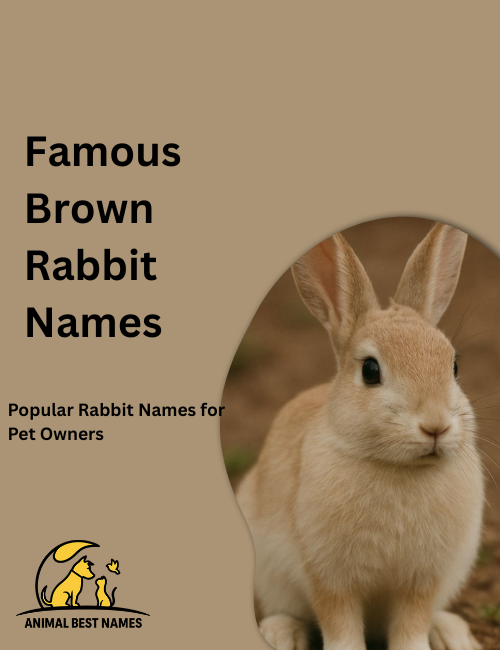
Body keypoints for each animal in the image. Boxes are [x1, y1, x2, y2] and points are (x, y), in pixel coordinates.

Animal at [236, 223, 484, 650]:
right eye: (370, 370)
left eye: (453, 366)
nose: (436, 426)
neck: (399, 468)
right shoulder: (329, 577)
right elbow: (341, 627)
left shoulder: (422, 581)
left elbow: (412, 626)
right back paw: (281, 634)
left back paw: (451, 634)